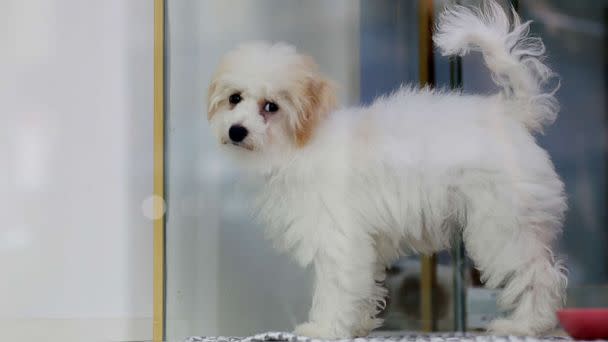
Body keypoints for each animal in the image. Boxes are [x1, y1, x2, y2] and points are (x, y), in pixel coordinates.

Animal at [207, 1, 568, 338]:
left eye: (271, 107)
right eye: (234, 98)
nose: (236, 131)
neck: (300, 146)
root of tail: (510, 114)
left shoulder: (337, 237)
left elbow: (335, 287)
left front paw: (323, 328)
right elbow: (362, 285)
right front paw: (358, 325)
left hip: (504, 225)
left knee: (537, 274)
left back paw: (526, 324)